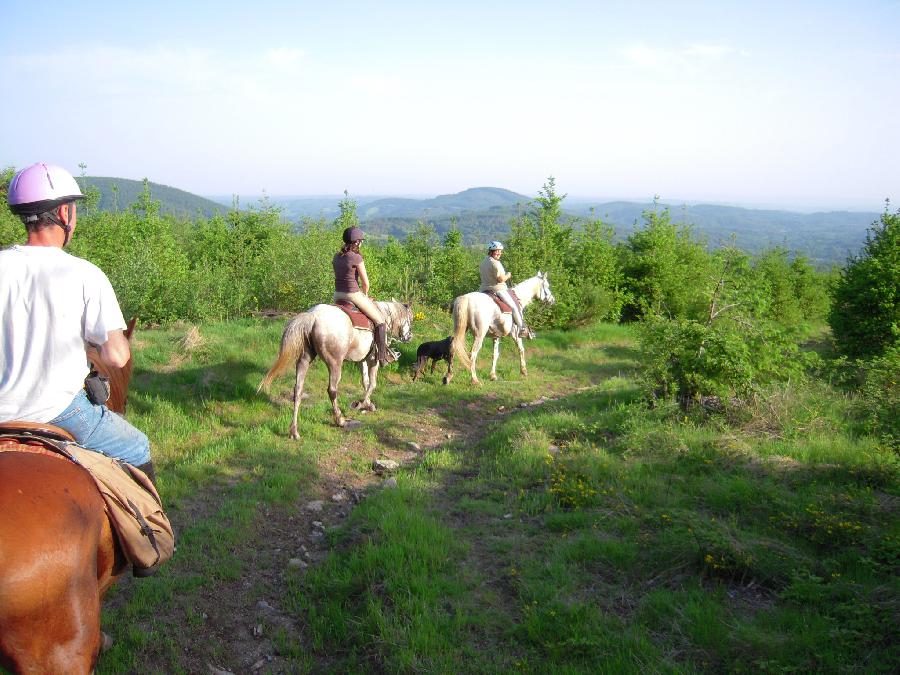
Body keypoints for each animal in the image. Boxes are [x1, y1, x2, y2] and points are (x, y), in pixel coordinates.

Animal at [258, 300, 414, 436]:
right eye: (410, 318)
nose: (409, 336)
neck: (384, 315)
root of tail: (313, 316)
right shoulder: (372, 361)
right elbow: (372, 384)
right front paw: (361, 404)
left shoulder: (362, 360)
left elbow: (365, 382)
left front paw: (368, 404)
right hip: (335, 364)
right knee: (332, 390)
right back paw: (340, 420)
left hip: (304, 360)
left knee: (298, 390)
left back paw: (294, 431)